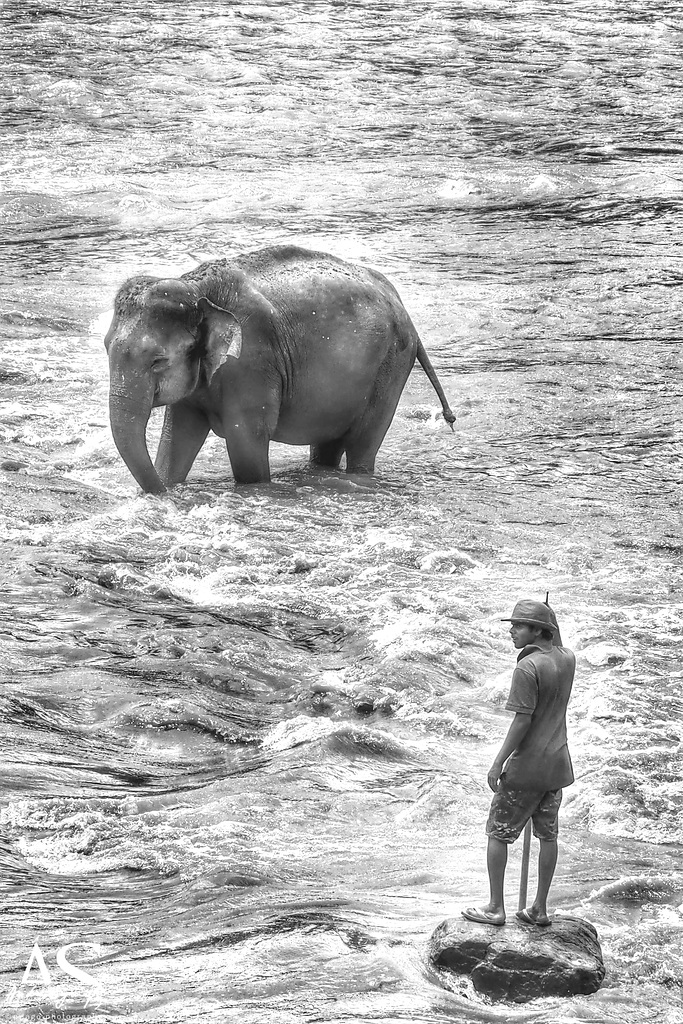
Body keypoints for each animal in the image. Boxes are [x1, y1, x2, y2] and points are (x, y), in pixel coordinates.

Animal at [104, 243, 456, 491]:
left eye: (157, 361)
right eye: (106, 347)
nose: (161, 493)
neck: (197, 290)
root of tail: (401, 304)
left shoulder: (252, 362)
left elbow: (246, 445)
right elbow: (177, 438)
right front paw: (168, 481)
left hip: (390, 368)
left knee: (362, 446)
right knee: (327, 447)